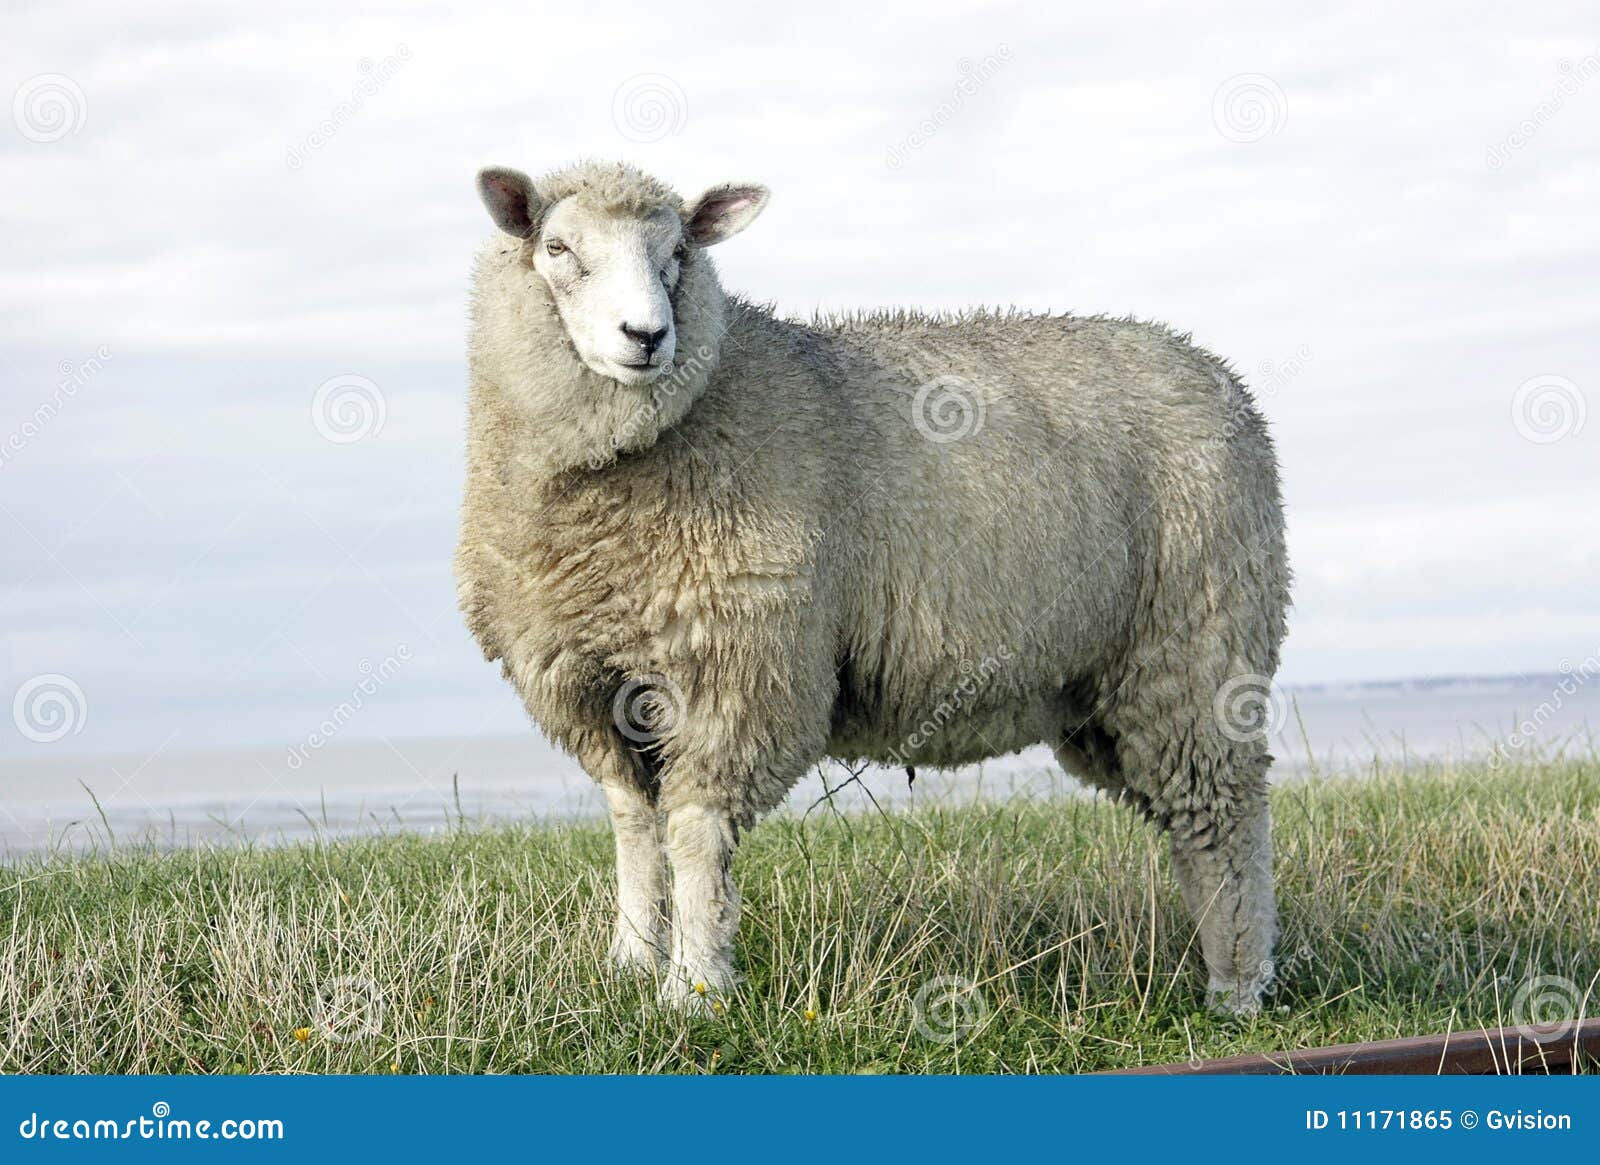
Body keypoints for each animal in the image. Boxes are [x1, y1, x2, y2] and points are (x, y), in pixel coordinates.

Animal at [456, 160, 1291, 1016]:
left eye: (679, 253)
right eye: (558, 248)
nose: (647, 336)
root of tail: (1219, 377)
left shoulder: (741, 671)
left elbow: (693, 834)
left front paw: (693, 989)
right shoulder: (589, 684)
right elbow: (633, 826)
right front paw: (628, 961)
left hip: (1197, 644)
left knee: (1228, 815)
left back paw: (1237, 983)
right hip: (1106, 686)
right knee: (1191, 821)